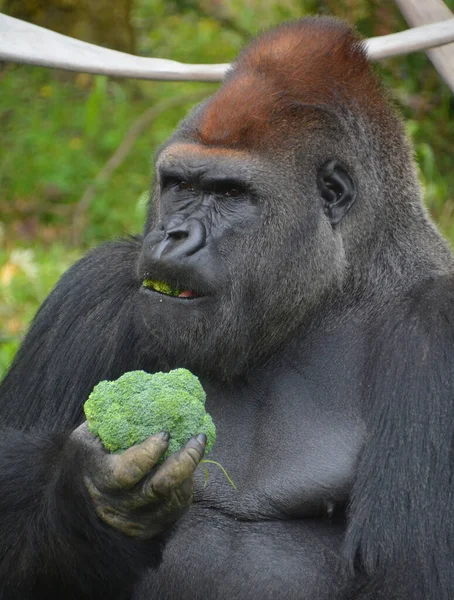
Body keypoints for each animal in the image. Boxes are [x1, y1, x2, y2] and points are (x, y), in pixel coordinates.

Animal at [0, 14, 454, 600]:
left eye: (230, 194)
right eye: (177, 184)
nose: (173, 235)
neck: (334, 291)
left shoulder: (437, 330)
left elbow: (411, 575)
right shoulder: (88, 296)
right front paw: (95, 497)